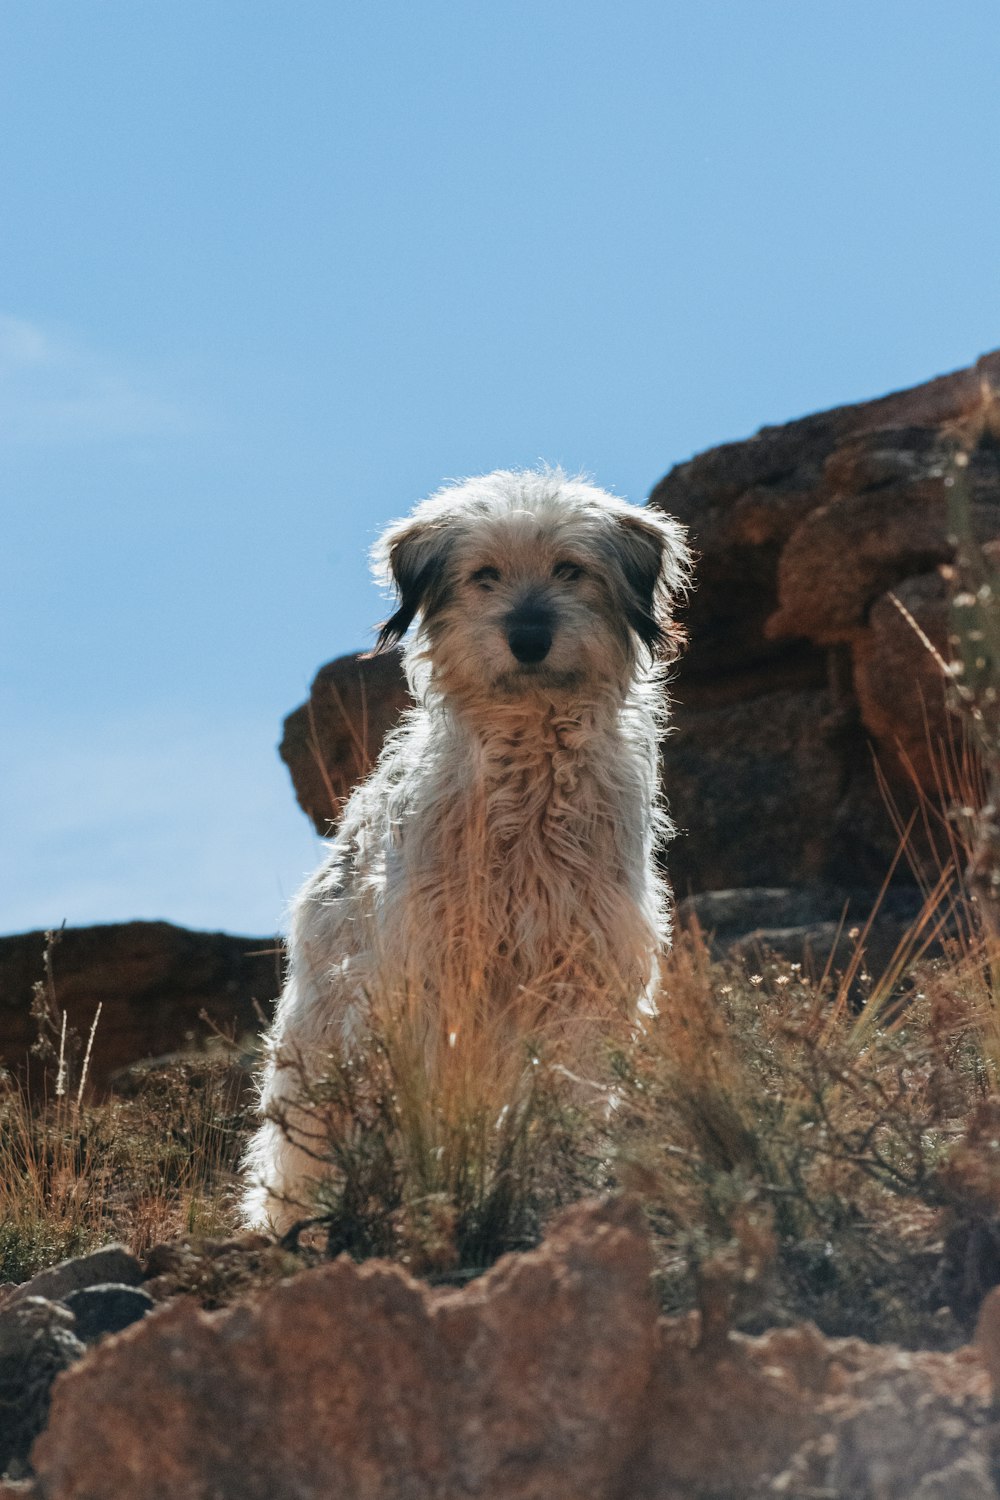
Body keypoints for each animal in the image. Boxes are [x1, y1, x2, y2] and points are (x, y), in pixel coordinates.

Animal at [242, 468, 689, 1230]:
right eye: (484, 575)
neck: (529, 785)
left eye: (570, 568)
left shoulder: (582, 975)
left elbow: (565, 1092)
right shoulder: (431, 976)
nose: (529, 637)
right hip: (322, 1038)